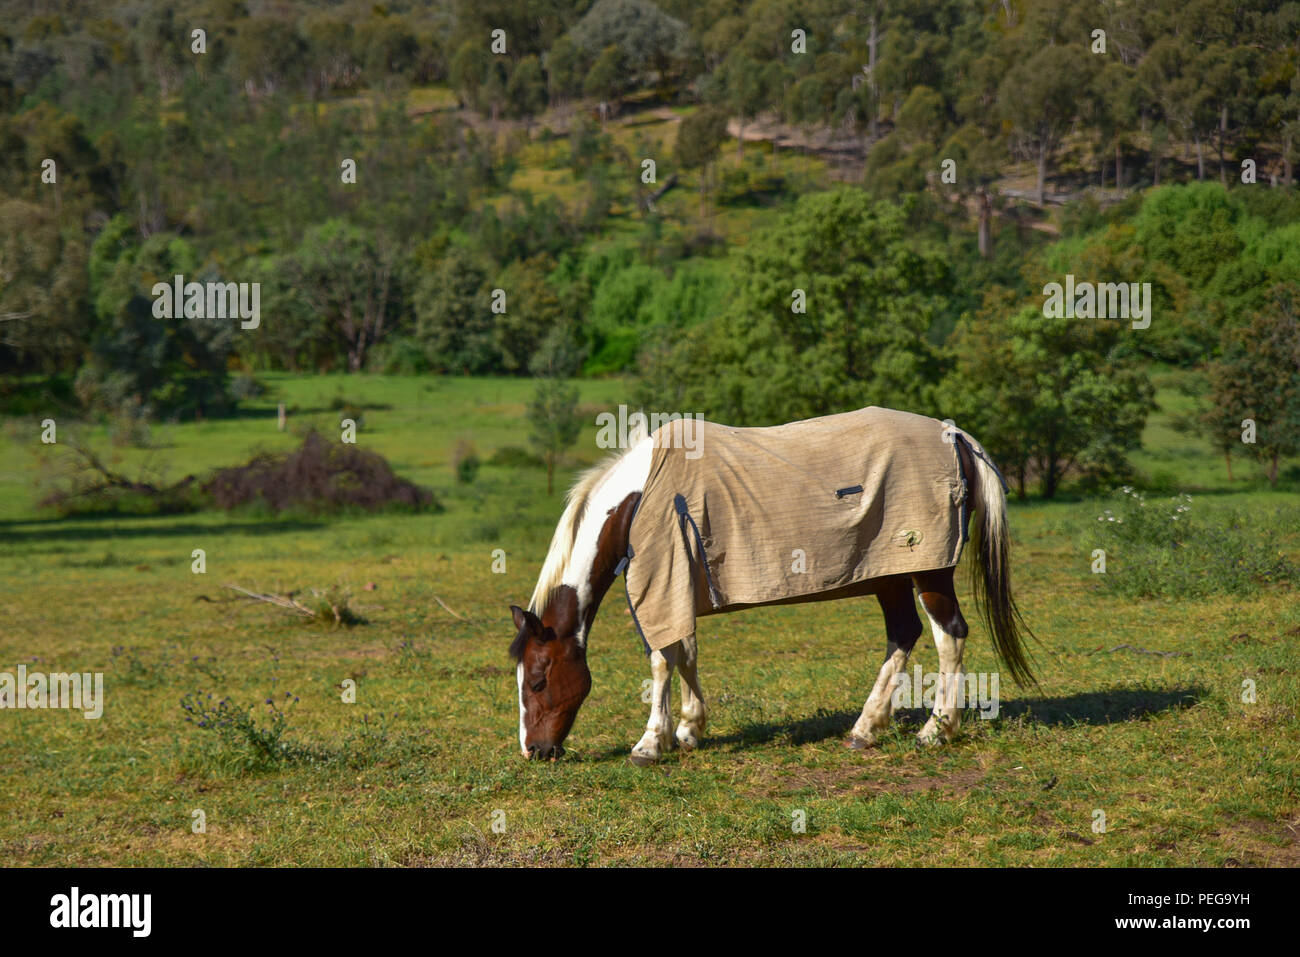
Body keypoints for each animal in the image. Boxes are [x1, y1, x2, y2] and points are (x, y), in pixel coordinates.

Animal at [508, 407, 1036, 764]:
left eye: (537, 680)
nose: (534, 750)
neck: (641, 497)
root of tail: (954, 435)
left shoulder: (662, 581)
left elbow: (661, 660)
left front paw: (650, 743)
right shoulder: (679, 585)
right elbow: (685, 654)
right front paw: (690, 729)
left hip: (929, 569)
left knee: (950, 636)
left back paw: (937, 730)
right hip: (885, 573)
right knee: (904, 634)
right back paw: (865, 729)